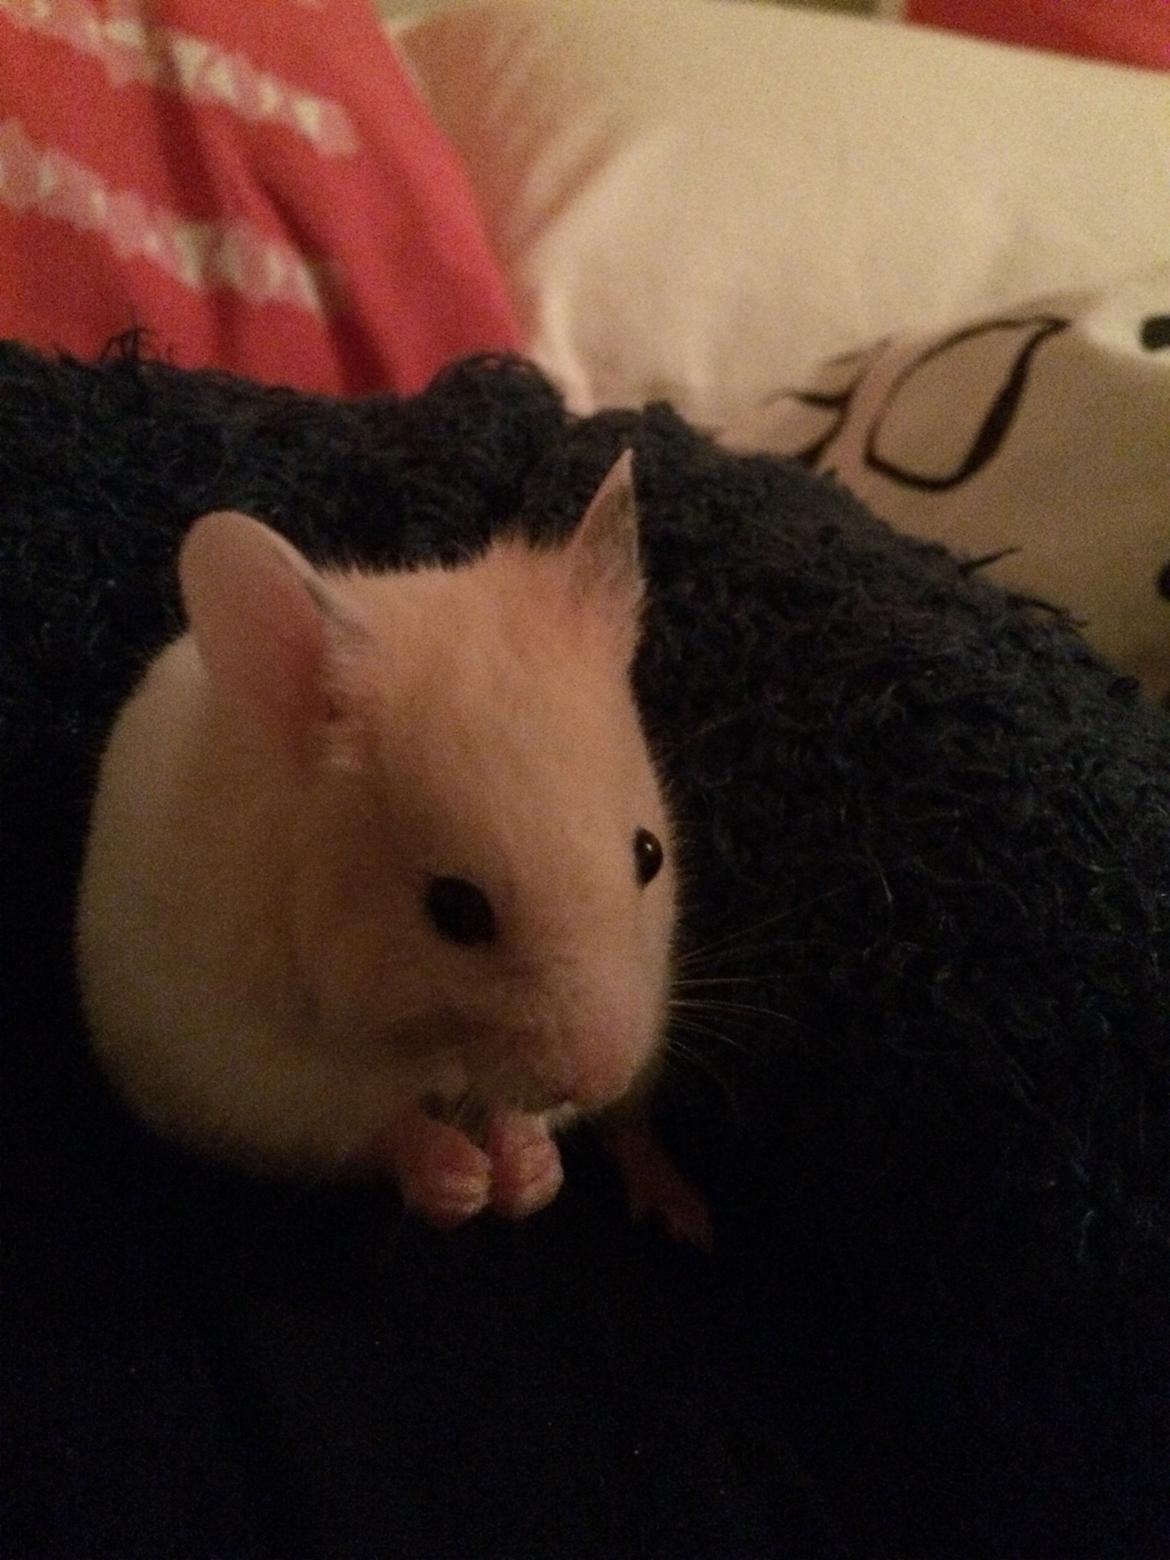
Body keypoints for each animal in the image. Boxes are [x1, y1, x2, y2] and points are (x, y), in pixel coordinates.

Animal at [75, 452, 692, 1233]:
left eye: (650, 854)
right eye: (455, 909)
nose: (603, 1075)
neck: (416, 1030)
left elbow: (522, 1117)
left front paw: (527, 1181)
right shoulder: (248, 1071)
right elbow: (372, 1122)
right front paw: (465, 1187)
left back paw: (682, 1214)